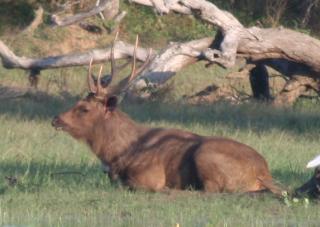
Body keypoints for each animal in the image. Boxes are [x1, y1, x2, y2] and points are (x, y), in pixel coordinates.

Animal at [51, 34, 282, 194]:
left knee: (210, 190)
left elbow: (130, 185)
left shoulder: (149, 175)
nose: (56, 119)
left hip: (206, 155)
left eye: (84, 108)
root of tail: (263, 173)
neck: (118, 154)